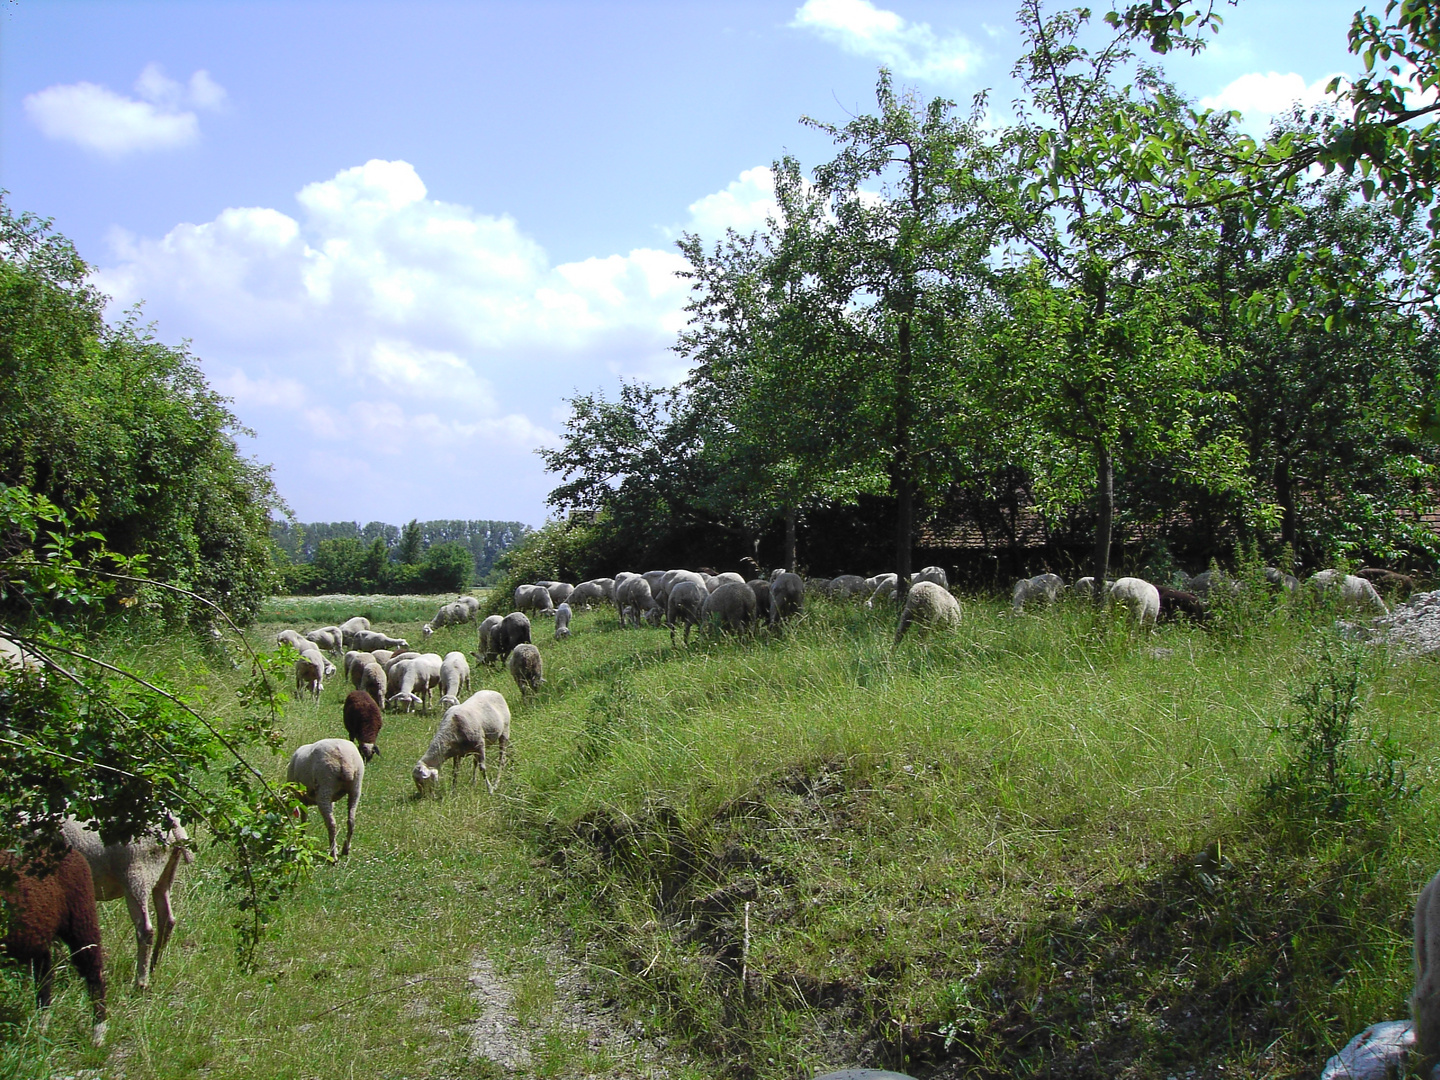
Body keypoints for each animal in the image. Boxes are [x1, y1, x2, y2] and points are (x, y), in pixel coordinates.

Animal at [63, 817, 192, 996]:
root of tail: (173, 824)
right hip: (165, 873)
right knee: (167, 919)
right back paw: (153, 966)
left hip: (137, 874)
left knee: (146, 930)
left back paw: (141, 982)